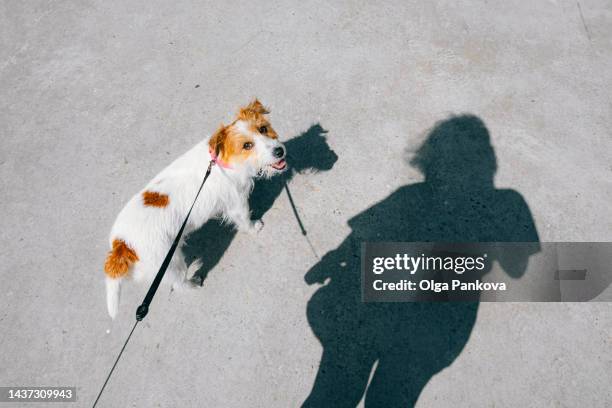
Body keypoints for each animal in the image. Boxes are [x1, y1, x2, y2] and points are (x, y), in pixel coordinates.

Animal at [104, 99, 286, 318]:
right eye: (247, 145)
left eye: (263, 129)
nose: (279, 151)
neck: (222, 161)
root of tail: (121, 244)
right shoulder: (236, 203)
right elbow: (243, 219)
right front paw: (254, 227)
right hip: (171, 263)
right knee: (178, 284)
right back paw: (193, 282)